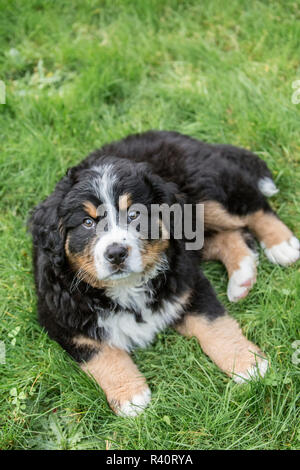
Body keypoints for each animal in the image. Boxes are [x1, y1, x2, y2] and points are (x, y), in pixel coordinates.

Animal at [29, 130, 298, 416]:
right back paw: (242, 277)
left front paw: (249, 365)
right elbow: (100, 353)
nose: (116, 253)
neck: (126, 287)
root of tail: (179, 137)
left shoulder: (188, 284)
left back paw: (282, 245)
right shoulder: (61, 314)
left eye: (134, 215)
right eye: (88, 222)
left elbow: (215, 325)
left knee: (254, 208)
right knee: (228, 236)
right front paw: (131, 396)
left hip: (208, 192)